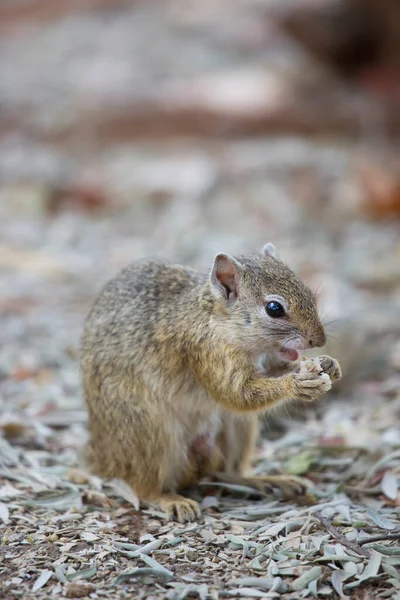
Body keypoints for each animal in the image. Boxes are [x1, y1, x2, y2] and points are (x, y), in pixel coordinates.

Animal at [80, 243, 340, 520]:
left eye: (310, 295)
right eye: (274, 308)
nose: (319, 340)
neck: (217, 321)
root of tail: (104, 458)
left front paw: (328, 364)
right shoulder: (207, 352)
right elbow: (237, 394)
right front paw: (296, 383)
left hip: (236, 428)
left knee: (225, 472)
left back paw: (268, 481)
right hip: (149, 432)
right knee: (143, 487)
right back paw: (170, 500)